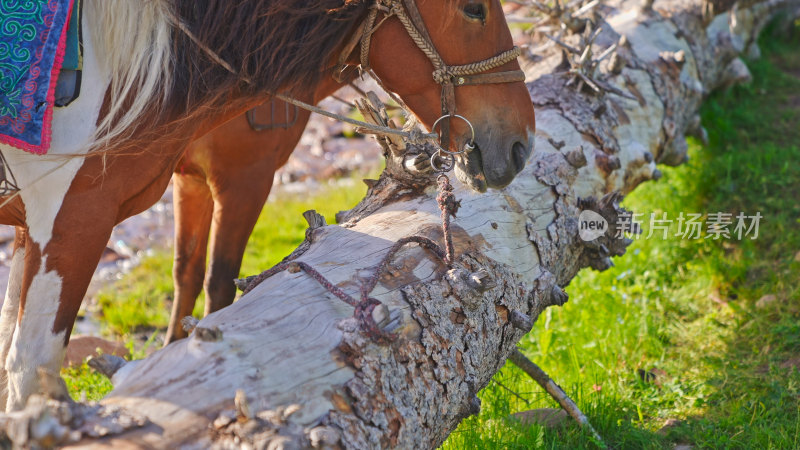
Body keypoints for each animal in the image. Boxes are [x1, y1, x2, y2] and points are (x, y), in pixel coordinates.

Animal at [0, 0, 536, 410]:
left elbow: (187, 275)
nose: (521, 144)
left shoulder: (186, 182)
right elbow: (30, 370)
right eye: (474, 9)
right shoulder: (76, 220)